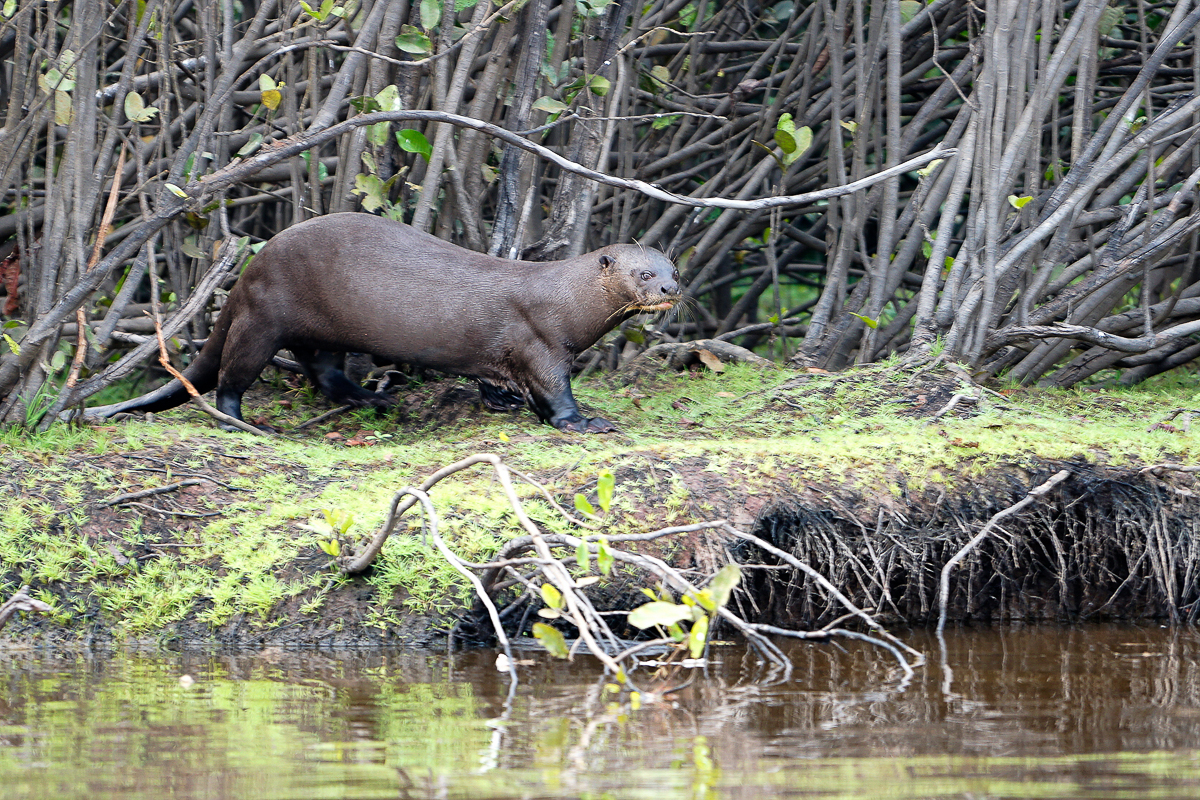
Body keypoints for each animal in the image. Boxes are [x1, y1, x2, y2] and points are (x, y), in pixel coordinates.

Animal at [87, 212, 676, 431]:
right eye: (644, 274)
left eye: (674, 267)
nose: (672, 290)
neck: (565, 299)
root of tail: (250, 268)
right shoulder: (541, 342)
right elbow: (554, 394)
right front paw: (585, 422)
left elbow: (501, 382)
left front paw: (504, 401)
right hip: (262, 318)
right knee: (232, 376)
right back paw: (243, 421)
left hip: (320, 331)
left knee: (324, 373)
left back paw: (373, 400)